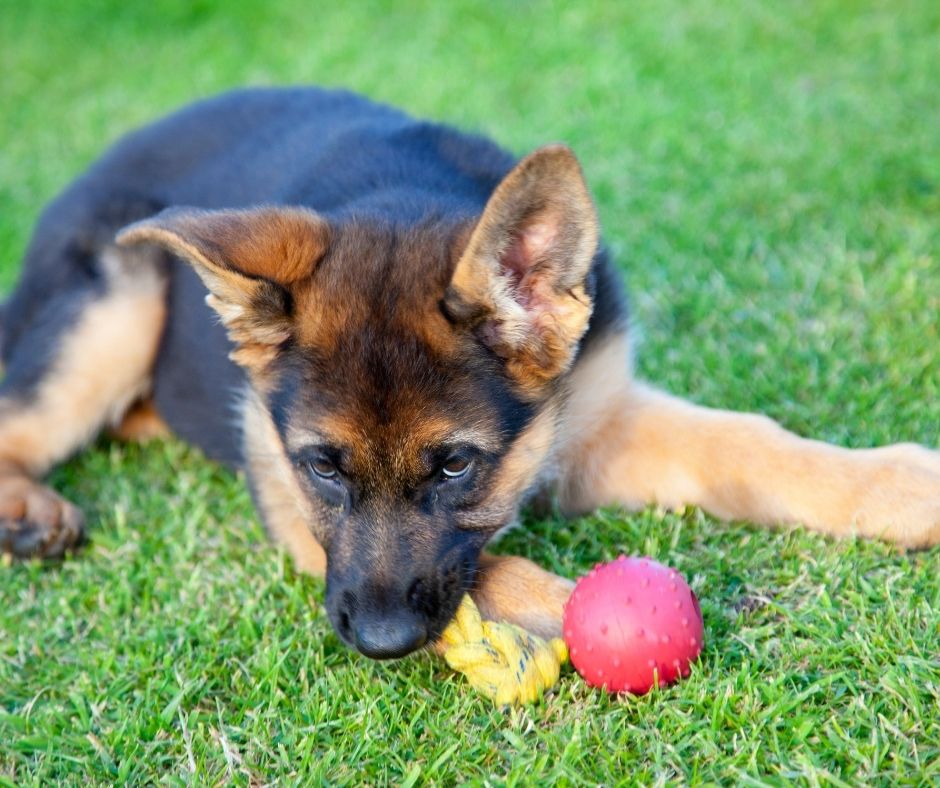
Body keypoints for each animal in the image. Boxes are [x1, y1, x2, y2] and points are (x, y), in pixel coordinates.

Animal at [1, 87, 940, 660]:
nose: (380, 642)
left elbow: (749, 445)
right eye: (322, 468)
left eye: (456, 465)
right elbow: (491, 568)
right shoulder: (285, 495)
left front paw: (897, 487)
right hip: (113, 309)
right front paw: (577, 605)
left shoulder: (599, 412)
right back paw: (27, 514)